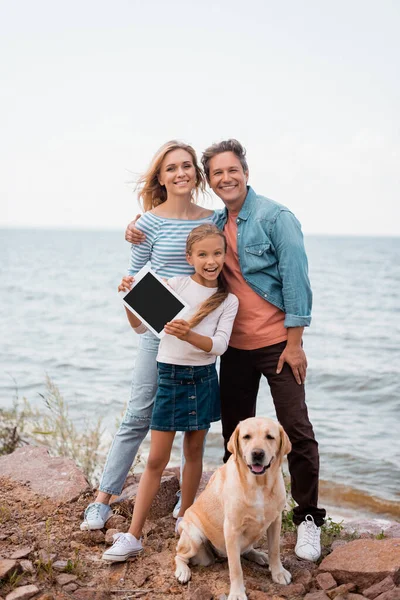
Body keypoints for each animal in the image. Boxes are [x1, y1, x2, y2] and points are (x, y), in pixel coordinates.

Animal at [173, 418, 292, 600]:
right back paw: (183, 571)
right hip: (194, 537)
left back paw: (258, 555)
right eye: (246, 437)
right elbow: (236, 568)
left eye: (270, 437)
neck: (258, 484)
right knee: (179, 555)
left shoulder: (275, 521)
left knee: (247, 550)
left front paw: (278, 572)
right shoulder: (231, 528)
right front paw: (237, 593)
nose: (257, 454)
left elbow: (275, 550)